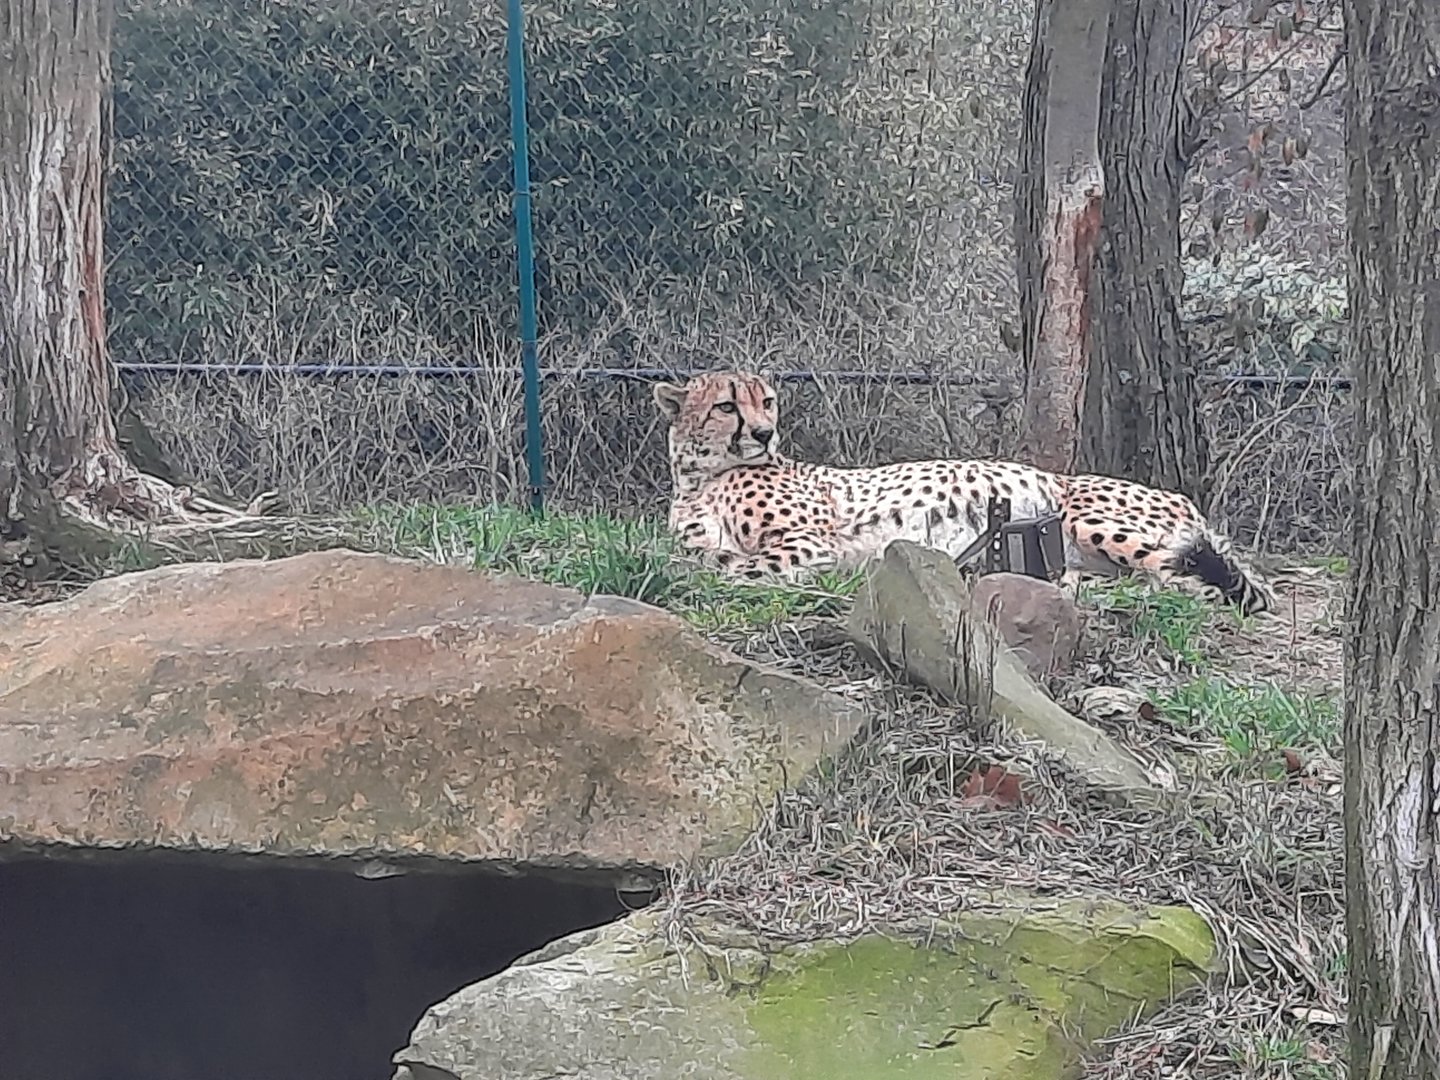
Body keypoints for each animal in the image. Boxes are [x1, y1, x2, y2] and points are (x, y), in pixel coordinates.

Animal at [651, 370, 1276, 616]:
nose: (764, 433)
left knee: (1212, 587)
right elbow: (698, 555)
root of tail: (1184, 500)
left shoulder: (812, 539)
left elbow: (736, 566)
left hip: (1086, 519)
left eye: (767, 401)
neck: (701, 476)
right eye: (727, 405)